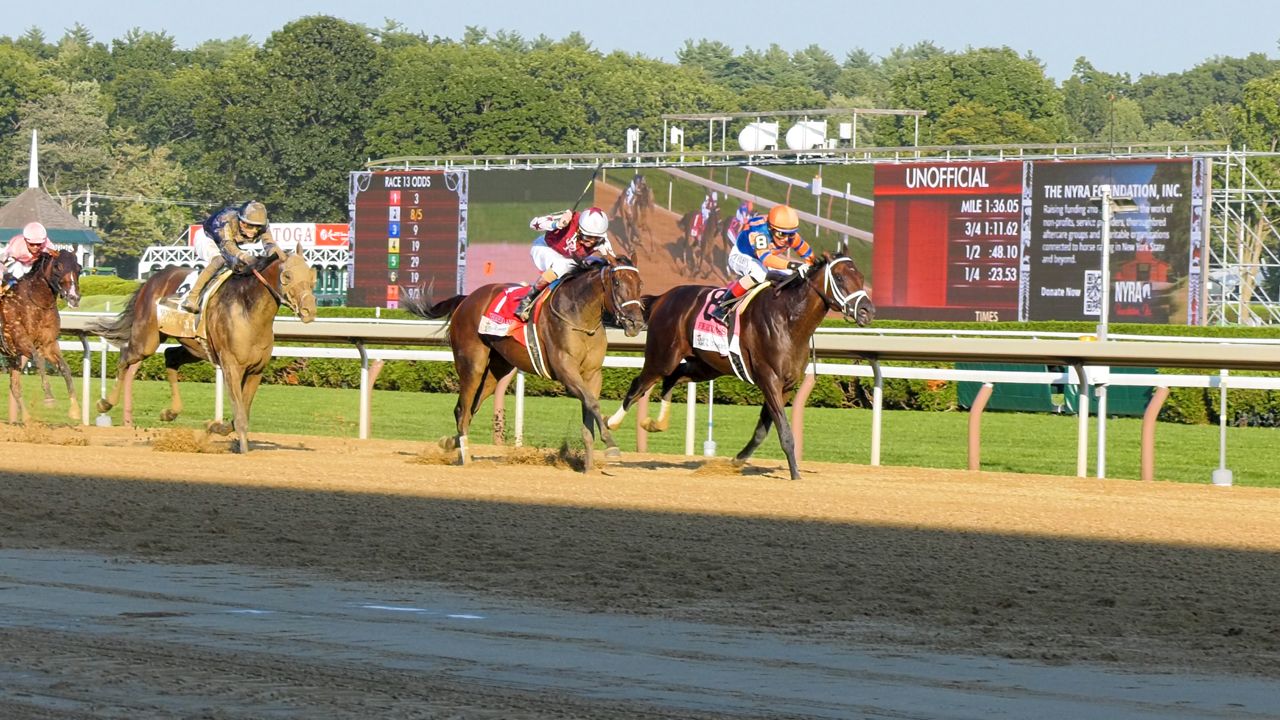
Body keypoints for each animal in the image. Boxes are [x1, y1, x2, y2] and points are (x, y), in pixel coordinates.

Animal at [0, 251, 81, 420]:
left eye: (79, 268)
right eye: (58, 266)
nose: (74, 298)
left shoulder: (49, 344)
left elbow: (65, 368)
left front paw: (75, 409)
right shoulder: (21, 341)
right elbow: (39, 360)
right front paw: (49, 398)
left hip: (12, 358)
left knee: (15, 386)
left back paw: (27, 419)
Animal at [90, 251, 317, 448]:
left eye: (311, 275)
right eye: (287, 275)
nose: (309, 310)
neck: (248, 309)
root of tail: (153, 278)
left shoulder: (256, 370)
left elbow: (241, 412)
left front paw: (215, 427)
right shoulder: (231, 366)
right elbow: (240, 415)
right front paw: (242, 449)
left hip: (194, 348)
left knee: (170, 356)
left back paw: (170, 412)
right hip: (146, 341)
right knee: (125, 357)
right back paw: (105, 403)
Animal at [407, 253, 650, 471]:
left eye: (640, 283)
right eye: (617, 282)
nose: (636, 323)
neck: (580, 316)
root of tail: (466, 298)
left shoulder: (592, 374)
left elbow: (589, 410)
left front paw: (589, 466)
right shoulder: (566, 370)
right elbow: (593, 403)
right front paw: (611, 445)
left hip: (496, 370)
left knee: (471, 407)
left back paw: (452, 442)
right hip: (472, 363)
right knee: (462, 408)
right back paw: (465, 457)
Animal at [606, 244, 870, 476]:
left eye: (860, 276)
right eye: (839, 277)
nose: (867, 311)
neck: (789, 319)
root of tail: (664, 297)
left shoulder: (785, 386)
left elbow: (762, 430)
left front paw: (737, 461)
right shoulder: (769, 380)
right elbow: (784, 432)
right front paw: (796, 475)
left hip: (705, 366)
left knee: (672, 378)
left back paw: (656, 423)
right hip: (663, 356)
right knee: (639, 385)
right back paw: (612, 426)